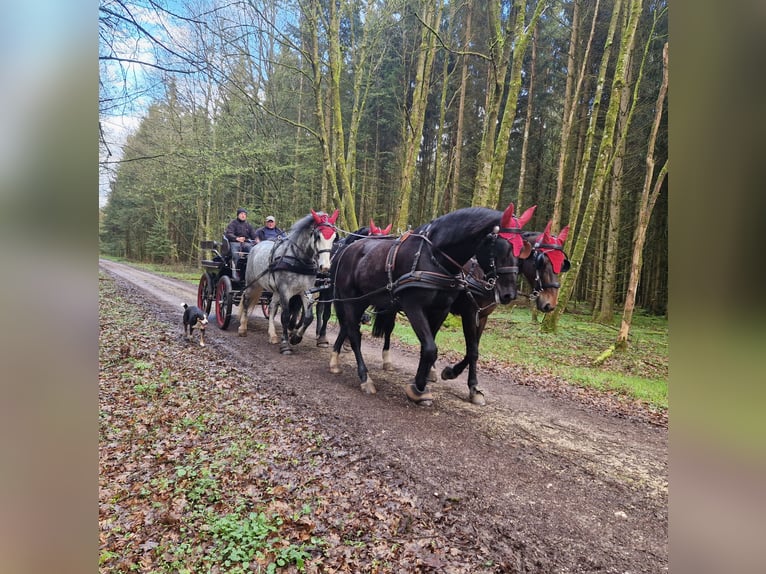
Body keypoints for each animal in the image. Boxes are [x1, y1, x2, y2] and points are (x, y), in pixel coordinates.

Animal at [328, 205, 536, 408]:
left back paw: (336, 360)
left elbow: (460, 349)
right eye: (501, 246)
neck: (434, 257)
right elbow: (430, 348)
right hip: (351, 301)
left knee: (349, 327)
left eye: (522, 250)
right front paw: (419, 388)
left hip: (365, 300)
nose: (509, 294)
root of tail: (348, 250)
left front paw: (465, 386)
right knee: (354, 334)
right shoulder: (417, 307)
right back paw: (364, 377)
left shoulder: (445, 310)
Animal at [440, 219, 572, 404]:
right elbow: (473, 351)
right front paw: (470, 385)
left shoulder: (482, 316)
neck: (486, 275)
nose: (550, 305)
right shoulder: (469, 313)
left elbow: (474, 349)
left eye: (562, 264)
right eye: (542, 262)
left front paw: (455, 374)